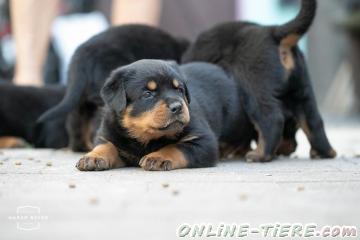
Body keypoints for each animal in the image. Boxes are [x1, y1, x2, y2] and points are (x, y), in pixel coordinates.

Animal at [76, 59, 245, 171]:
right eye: (148, 94)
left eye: (179, 90)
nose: (177, 107)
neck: (145, 138)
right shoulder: (108, 134)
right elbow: (106, 145)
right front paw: (94, 156)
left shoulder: (204, 141)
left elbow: (176, 147)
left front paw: (158, 157)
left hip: (236, 123)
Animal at [183, 0, 338, 162]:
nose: (289, 149)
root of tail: (273, 32)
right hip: (302, 89)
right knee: (313, 120)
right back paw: (324, 152)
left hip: (254, 85)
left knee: (271, 118)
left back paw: (259, 154)